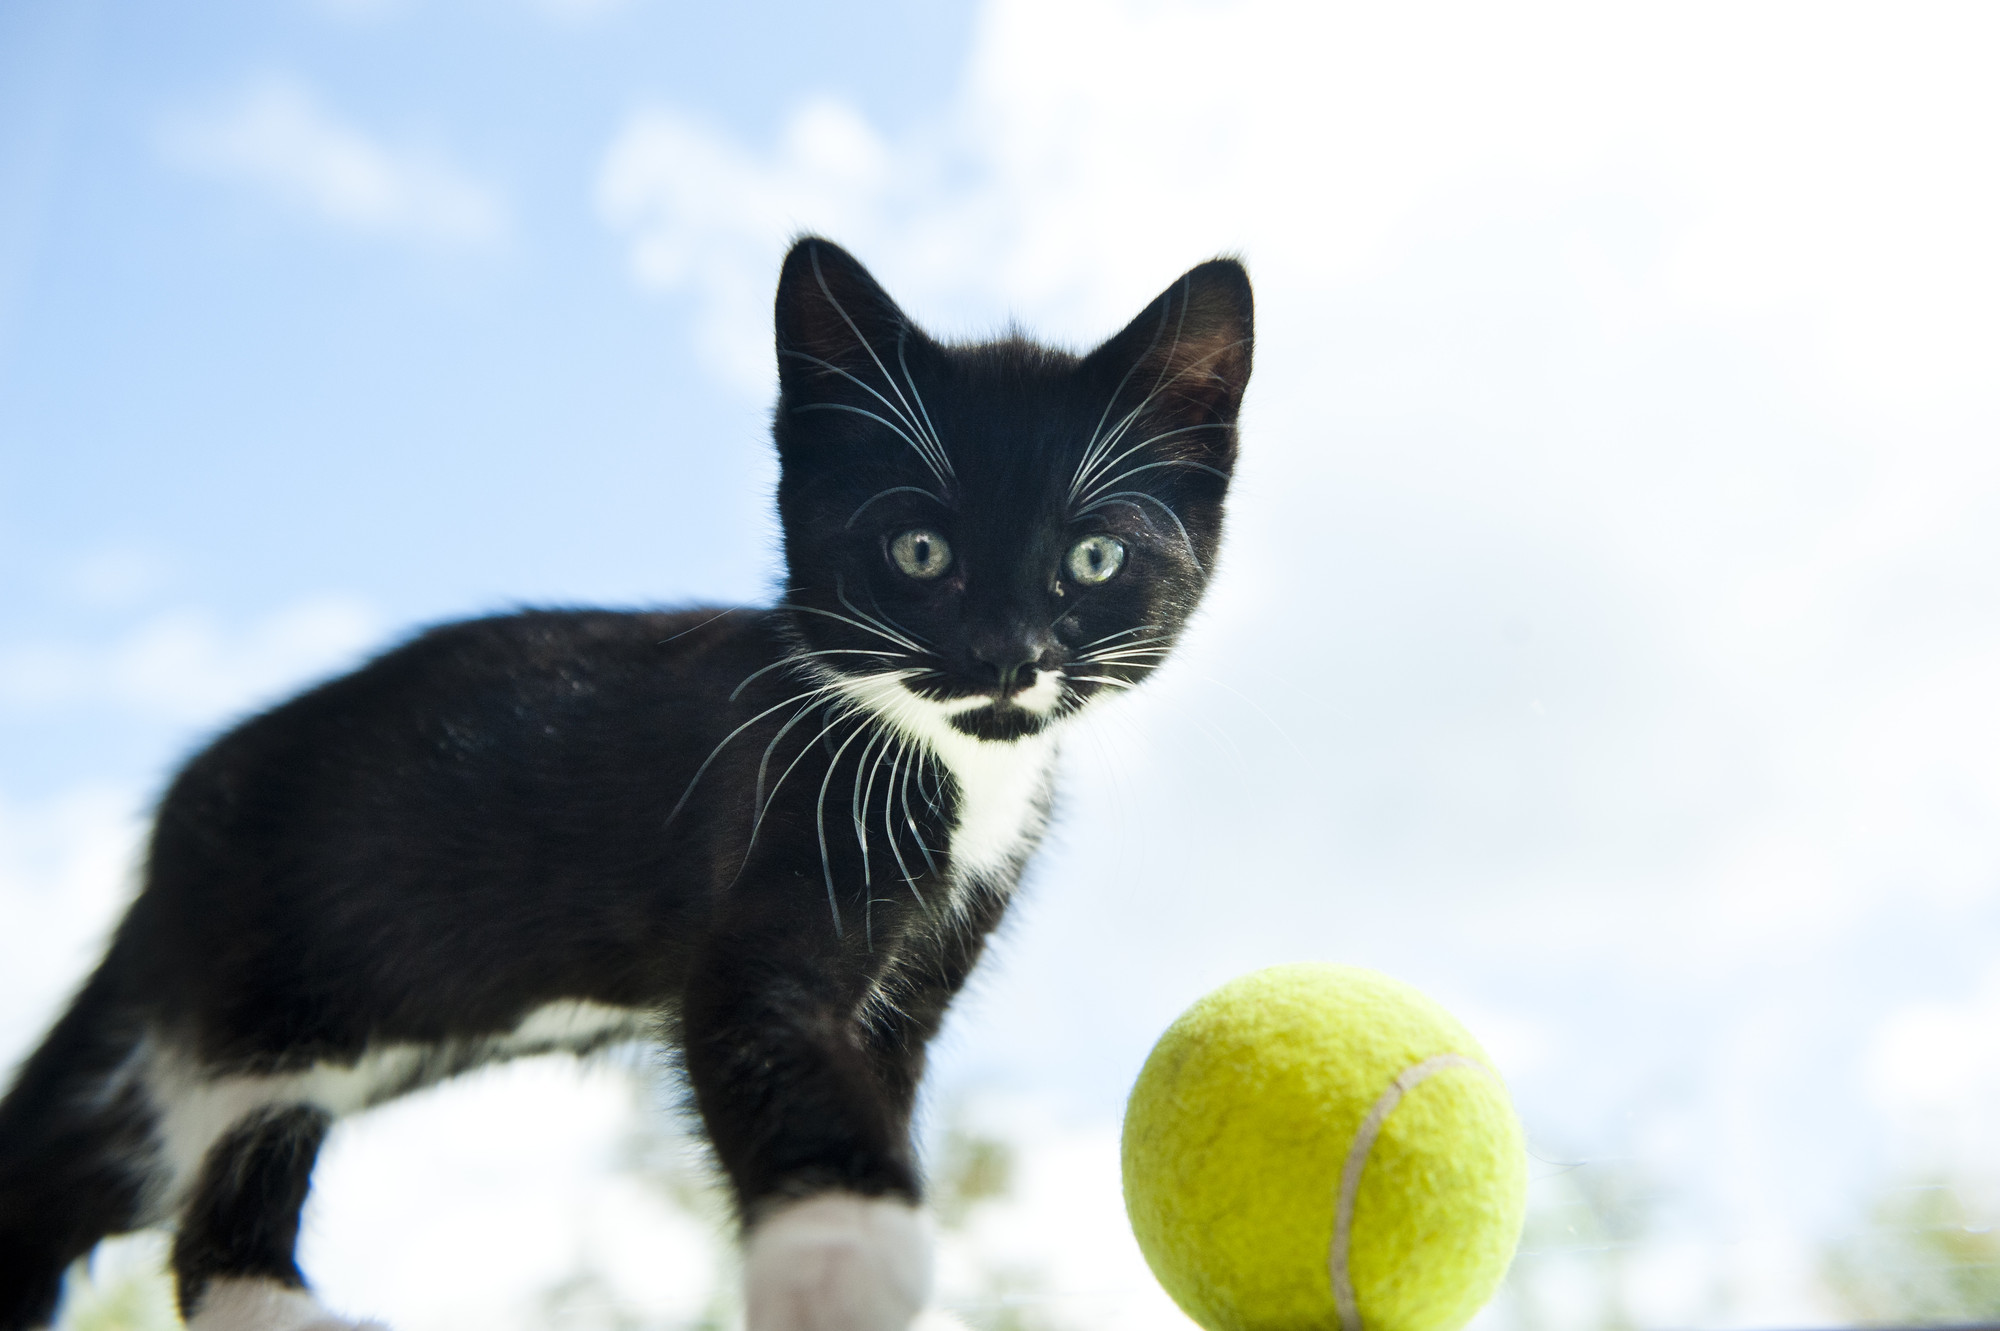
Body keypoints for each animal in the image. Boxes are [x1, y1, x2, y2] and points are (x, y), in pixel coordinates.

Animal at [0, 235, 1248, 1327]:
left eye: (1092, 556)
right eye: (919, 551)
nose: (1004, 656)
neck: (950, 760)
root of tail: (169, 829)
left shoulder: (922, 981)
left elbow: (876, 1073)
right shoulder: (767, 840)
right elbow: (761, 1027)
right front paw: (843, 1256)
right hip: (255, 993)